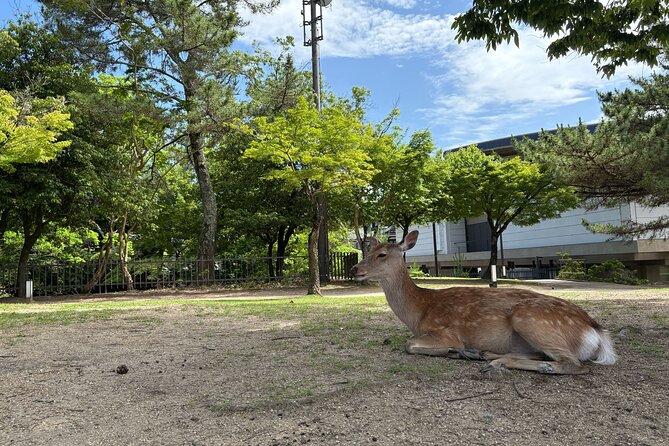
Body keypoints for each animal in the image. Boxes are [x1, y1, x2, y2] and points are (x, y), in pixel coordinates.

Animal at [351, 230, 617, 374]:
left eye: (382, 254)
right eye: (367, 252)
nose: (355, 269)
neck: (420, 311)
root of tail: (596, 331)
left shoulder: (446, 331)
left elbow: (409, 345)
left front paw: (455, 350)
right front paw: (465, 353)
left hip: (531, 319)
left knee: (574, 364)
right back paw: (487, 357)